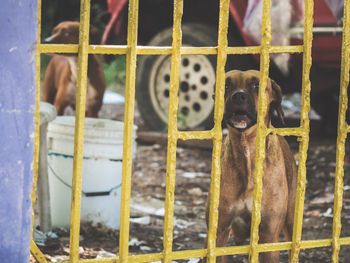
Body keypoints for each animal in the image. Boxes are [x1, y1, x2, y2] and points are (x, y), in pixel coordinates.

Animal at [206, 70, 296, 263]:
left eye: (256, 85)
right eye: (227, 85)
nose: (238, 96)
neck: (245, 146)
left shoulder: (268, 237)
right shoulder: (218, 234)